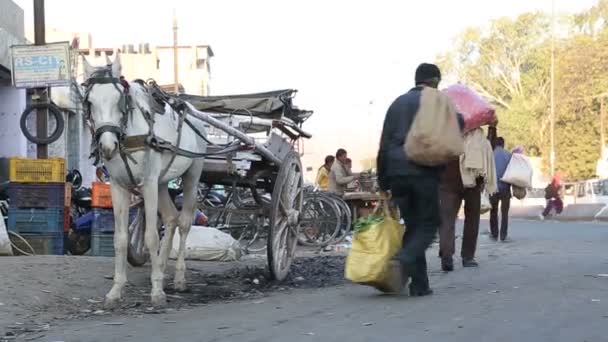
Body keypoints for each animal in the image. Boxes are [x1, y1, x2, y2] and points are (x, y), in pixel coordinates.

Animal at [83, 55, 207, 308]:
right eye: (90, 102)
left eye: (119, 100)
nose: (107, 146)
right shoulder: (119, 187)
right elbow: (120, 239)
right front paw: (116, 290)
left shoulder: (148, 184)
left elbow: (150, 236)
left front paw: (157, 292)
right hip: (161, 183)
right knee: (170, 219)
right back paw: (160, 267)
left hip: (192, 174)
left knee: (184, 223)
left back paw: (179, 277)